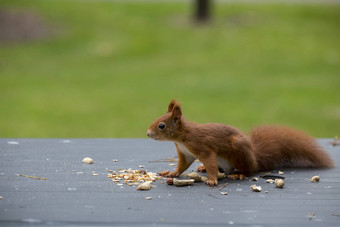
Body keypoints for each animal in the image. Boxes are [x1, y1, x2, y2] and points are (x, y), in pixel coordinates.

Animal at [145, 99, 334, 186]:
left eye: (161, 125)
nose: (147, 133)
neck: (182, 137)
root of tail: (255, 158)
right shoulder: (186, 153)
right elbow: (182, 165)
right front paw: (171, 173)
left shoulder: (203, 147)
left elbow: (210, 161)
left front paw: (212, 179)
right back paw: (202, 168)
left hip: (238, 149)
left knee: (248, 170)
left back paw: (239, 174)